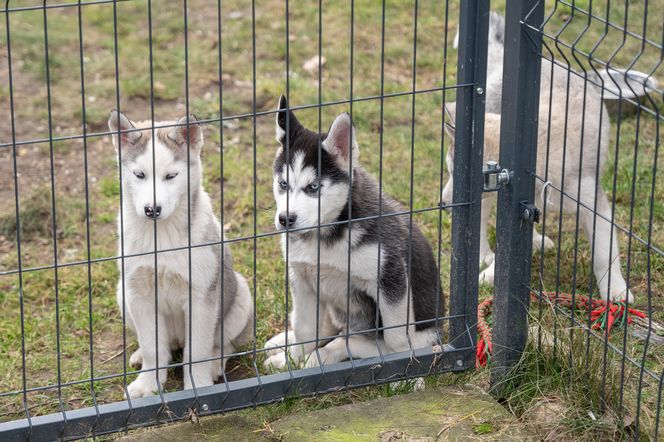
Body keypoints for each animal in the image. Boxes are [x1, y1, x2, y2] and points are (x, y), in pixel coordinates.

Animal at [107, 109, 253, 398]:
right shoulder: (139, 293)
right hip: (122, 295)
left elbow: (197, 352)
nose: (152, 209)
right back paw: (139, 355)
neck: (161, 237)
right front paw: (148, 385)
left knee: (222, 345)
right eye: (139, 174)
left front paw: (199, 385)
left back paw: (215, 364)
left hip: (240, 296)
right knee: (163, 347)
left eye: (171, 176)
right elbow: (153, 349)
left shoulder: (200, 296)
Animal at [264, 96, 446, 370]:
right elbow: (305, 329)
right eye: (283, 184)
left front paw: (407, 370)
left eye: (313, 187)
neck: (325, 236)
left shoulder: (390, 277)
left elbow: (395, 339)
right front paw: (291, 361)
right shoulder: (302, 278)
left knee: (352, 341)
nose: (285, 219)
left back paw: (326, 354)